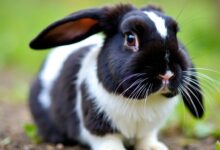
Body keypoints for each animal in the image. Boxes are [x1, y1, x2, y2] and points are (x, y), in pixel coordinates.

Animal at [28, 3, 204, 150]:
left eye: (176, 36)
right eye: (130, 38)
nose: (167, 73)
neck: (141, 102)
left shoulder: (149, 129)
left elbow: (147, 138)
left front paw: (154, 148)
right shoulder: (98, 125)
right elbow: (107, 140)